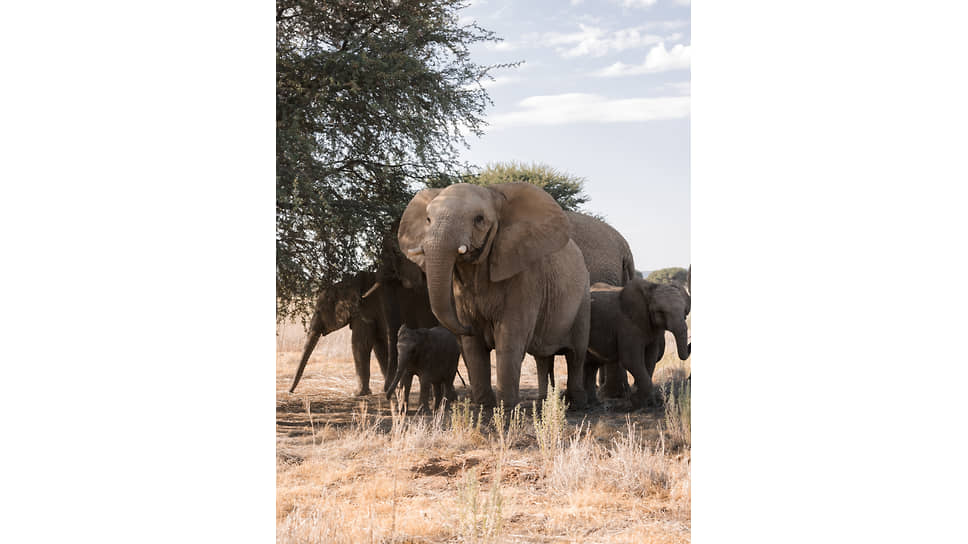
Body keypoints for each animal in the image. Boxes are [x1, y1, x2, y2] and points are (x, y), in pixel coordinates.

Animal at [398, 183, 588, 408]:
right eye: (428, 220)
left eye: (479, 219)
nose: (465, 328)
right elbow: (474, 347)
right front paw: (484, 407)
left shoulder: (525, 278)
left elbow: (509, 338)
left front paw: (506, 408)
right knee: (542, 357)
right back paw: (544, 403)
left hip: (583, 298)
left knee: (576, 355)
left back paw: (577, 404)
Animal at [588, 280, 692, 408]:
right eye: (661, 312)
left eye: (684, 312)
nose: (690, 344)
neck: (651, 287)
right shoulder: (628, 324)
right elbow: (631, 360)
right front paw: (635, 401)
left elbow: (650, 358)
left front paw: (647, 401)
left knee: (590, 364)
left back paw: (591, 403)